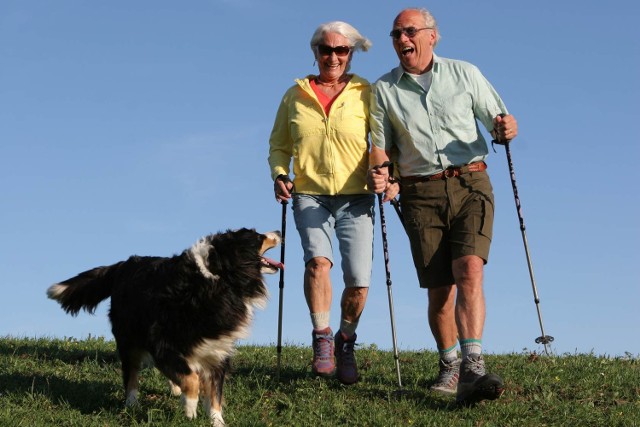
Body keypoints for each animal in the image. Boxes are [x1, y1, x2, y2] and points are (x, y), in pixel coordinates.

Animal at [48, 229, 278, 426]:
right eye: (258, 236)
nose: (279, 231)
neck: (217, 278)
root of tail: (123, 264)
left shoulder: (218, 351)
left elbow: (214, 394)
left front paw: (216, 421)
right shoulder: (162, 341)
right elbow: (192, 379)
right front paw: (190, 409)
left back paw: (174, 389)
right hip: (129, 337)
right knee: (131, 372)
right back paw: (132, 403)